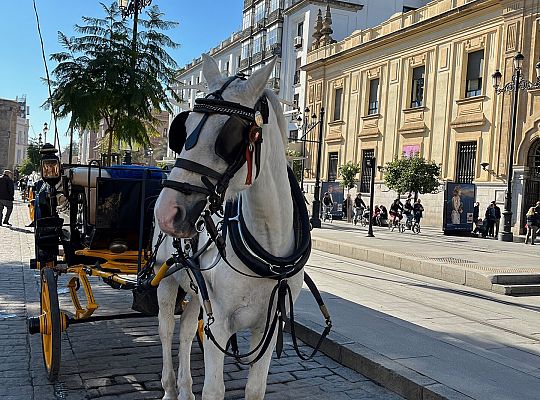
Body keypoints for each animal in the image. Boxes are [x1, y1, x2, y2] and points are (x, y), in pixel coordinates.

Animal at [154, 55, 306, 400]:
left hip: (195, 290)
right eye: (184, 128)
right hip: (165, 280)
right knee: (166, 330)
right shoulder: (219, 324)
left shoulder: (268, 326)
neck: (267, 248)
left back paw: (185, 388)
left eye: (229, 135)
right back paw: (169, 388)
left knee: (185, 331)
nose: (166, 212)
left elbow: (255, 389)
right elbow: (214, 390)